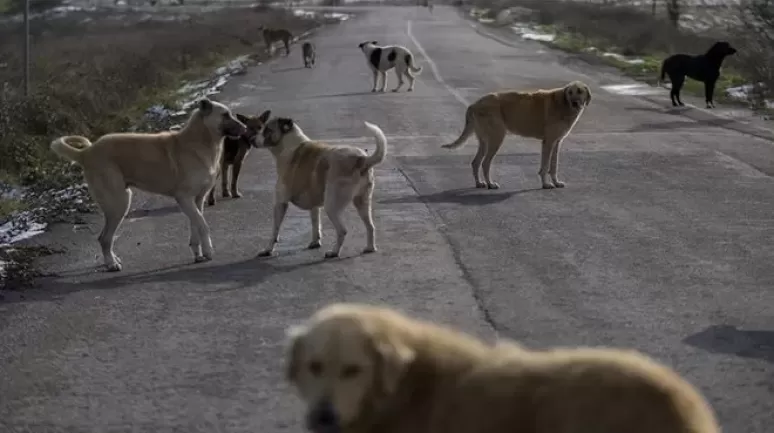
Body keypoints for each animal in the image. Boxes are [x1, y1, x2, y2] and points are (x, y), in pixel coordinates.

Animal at [48, 99, 247, 272]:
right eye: (225, 115)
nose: (245, 128)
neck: (199, 141)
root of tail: (86, 152)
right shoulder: (184, 198)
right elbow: (203, 225)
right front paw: (208, 250)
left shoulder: (197, 200)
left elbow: (196, 226)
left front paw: (198, 253)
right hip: (119, 203)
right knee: (104, 238)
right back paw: (111, 264)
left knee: (106, 238)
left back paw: (112, 260)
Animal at [255, 115, 388, 256]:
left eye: (267, 130)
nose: (252, 139)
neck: (289, 145)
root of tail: (361, 159)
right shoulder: (313, 203)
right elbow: (315, 223)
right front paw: (315, 242)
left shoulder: (280, 203)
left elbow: (275, 231)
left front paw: (268, 249)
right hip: (362, 202)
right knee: (370, 227)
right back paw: (370, 247)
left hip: (331, 205)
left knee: (342, 230)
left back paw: (334, 252)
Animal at [442, 81, 596, 189]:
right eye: (570, 92)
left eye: (580, 91)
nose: (575, 102)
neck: (563, 104)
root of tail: (474, 104)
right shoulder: (549, 142)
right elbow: (545, 166)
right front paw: (546, 184)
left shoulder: (556, 142)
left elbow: (553, 166)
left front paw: (556, 182)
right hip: (496, 139)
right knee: (485, 163)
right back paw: (490, 184)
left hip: (485, 141)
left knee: (475, 162)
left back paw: (480, 183)